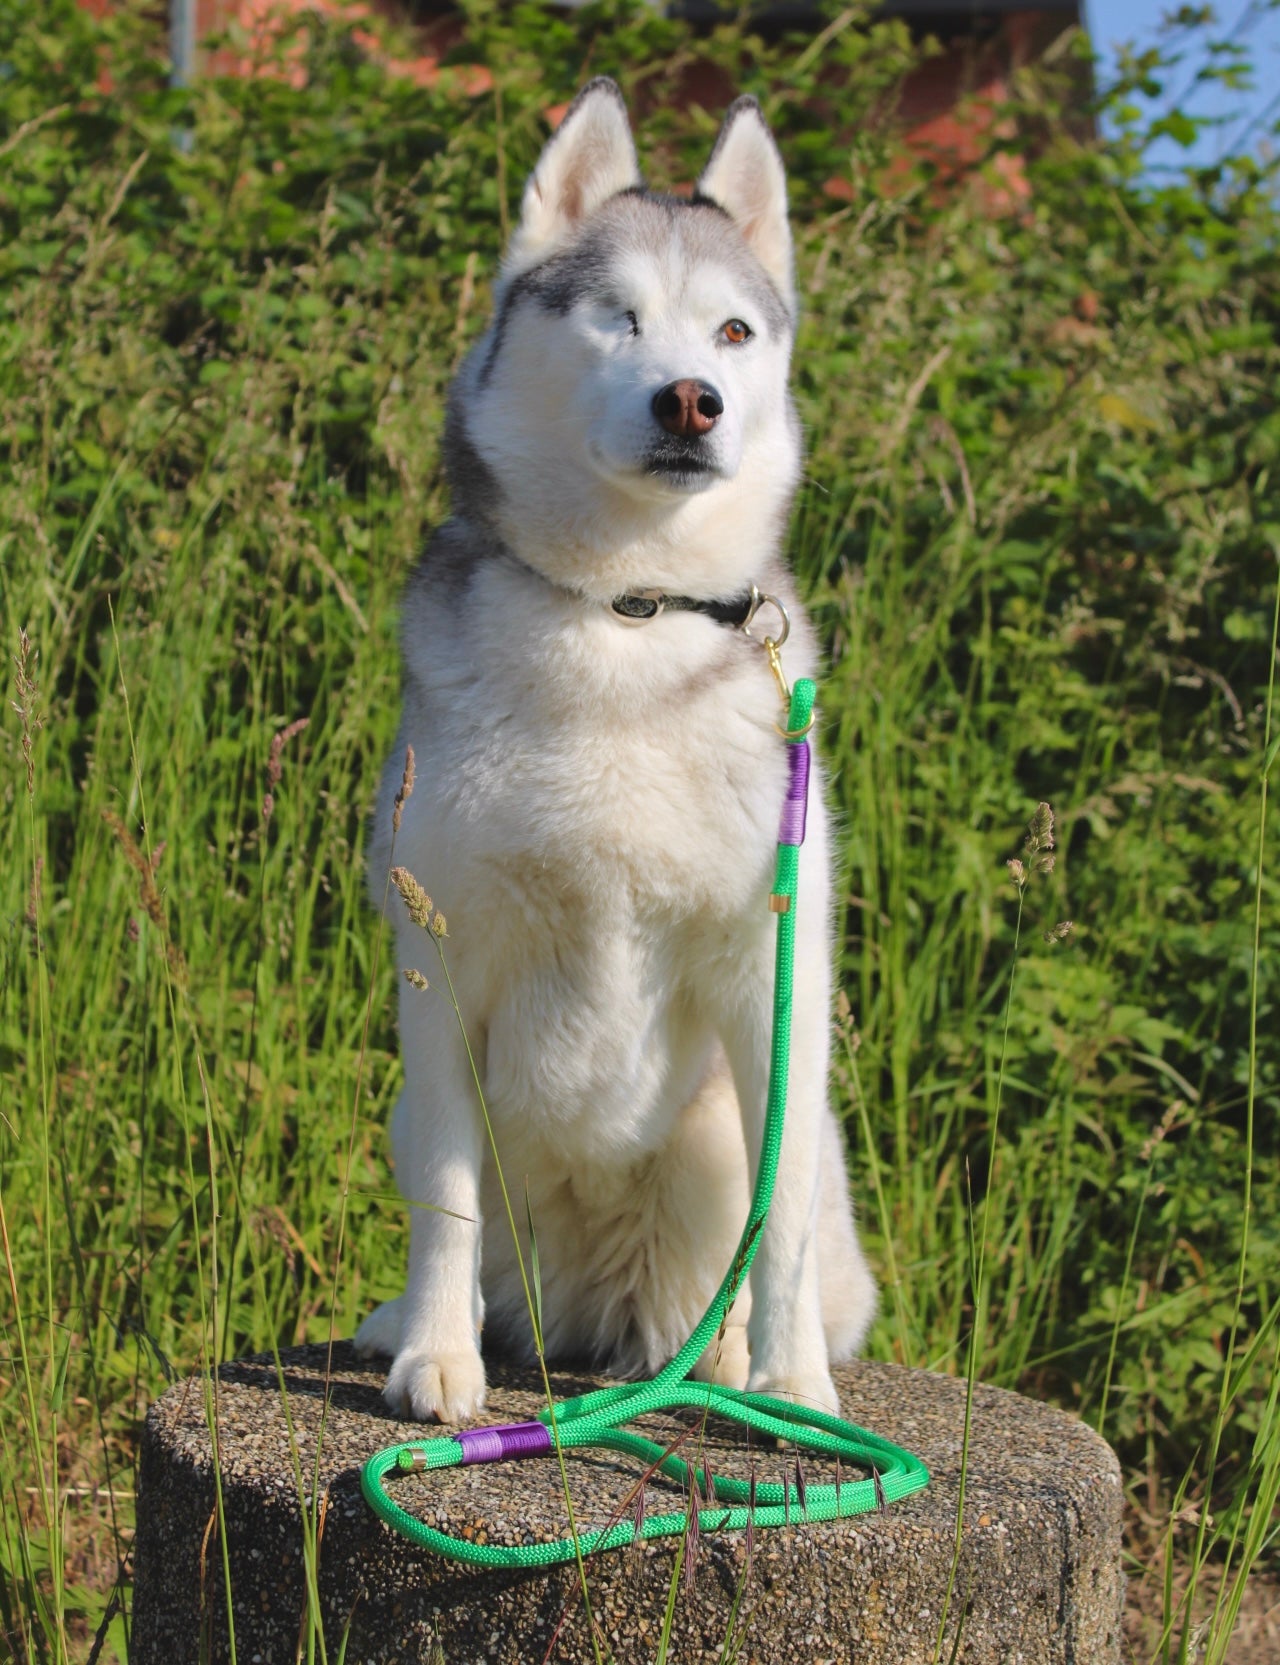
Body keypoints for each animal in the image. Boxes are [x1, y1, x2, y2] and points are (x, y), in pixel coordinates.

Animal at [359, 78, 878, 1425]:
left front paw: (795, 1384)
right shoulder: (441, 968)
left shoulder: (768, 976)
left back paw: (737, 1360)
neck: (625, 611)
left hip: (729, 1136)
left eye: (733, 332)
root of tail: (593, 1319)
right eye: (618, 318)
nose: (689, 397)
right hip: (418, 1115)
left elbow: (778, 1222)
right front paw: (435, 1355)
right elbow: (447, 1199)